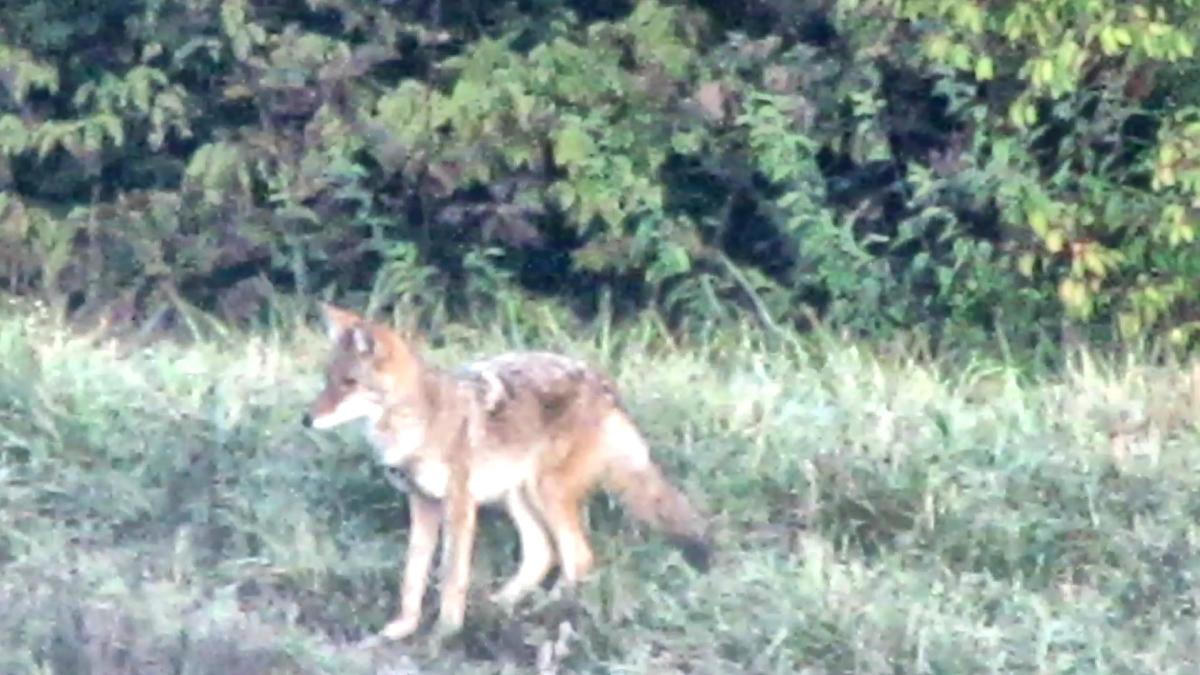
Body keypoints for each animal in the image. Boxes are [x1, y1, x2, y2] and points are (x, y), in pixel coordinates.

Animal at [301, 303, 712, 641]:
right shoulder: (423, 503)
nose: (306, 420)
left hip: (546, 494)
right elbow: (412, 575)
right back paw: (503, 605)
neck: (419, 422)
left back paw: (542, 611)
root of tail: (605, 386)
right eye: (327, 379)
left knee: (578, 558)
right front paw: (403, 628)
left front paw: (446, 632)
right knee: (543, 554)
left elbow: (451, 575)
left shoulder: (459, 505)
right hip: (518, 498)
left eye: (349, 383)